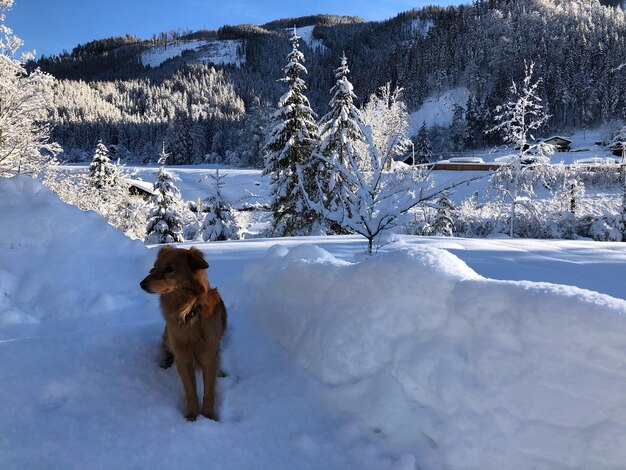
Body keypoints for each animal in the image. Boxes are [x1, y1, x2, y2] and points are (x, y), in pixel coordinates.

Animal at [140, 246, 227, 422]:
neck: (189, 312)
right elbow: (190, 391)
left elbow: (209, 391)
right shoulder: (183, 356)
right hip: (167, 335)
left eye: (169, 269)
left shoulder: (209, 354)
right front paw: (192, 417)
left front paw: (209, 418)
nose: (141, 284)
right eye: (154, 267)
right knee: (167, 350)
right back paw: (165, 362)